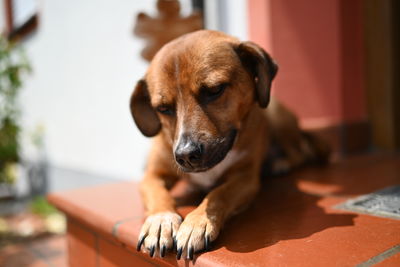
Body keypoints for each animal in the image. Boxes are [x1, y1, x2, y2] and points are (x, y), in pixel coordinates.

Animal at [130, 30, 328, 260]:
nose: (185, 155)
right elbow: (158, 194)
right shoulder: (152, 175)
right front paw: (161, 221)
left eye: (215, 90)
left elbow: (218, 193)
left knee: (299, 152)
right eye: (163, 108)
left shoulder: (245, 179)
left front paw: (197, 222)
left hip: (275, 115)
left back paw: (279, 163)